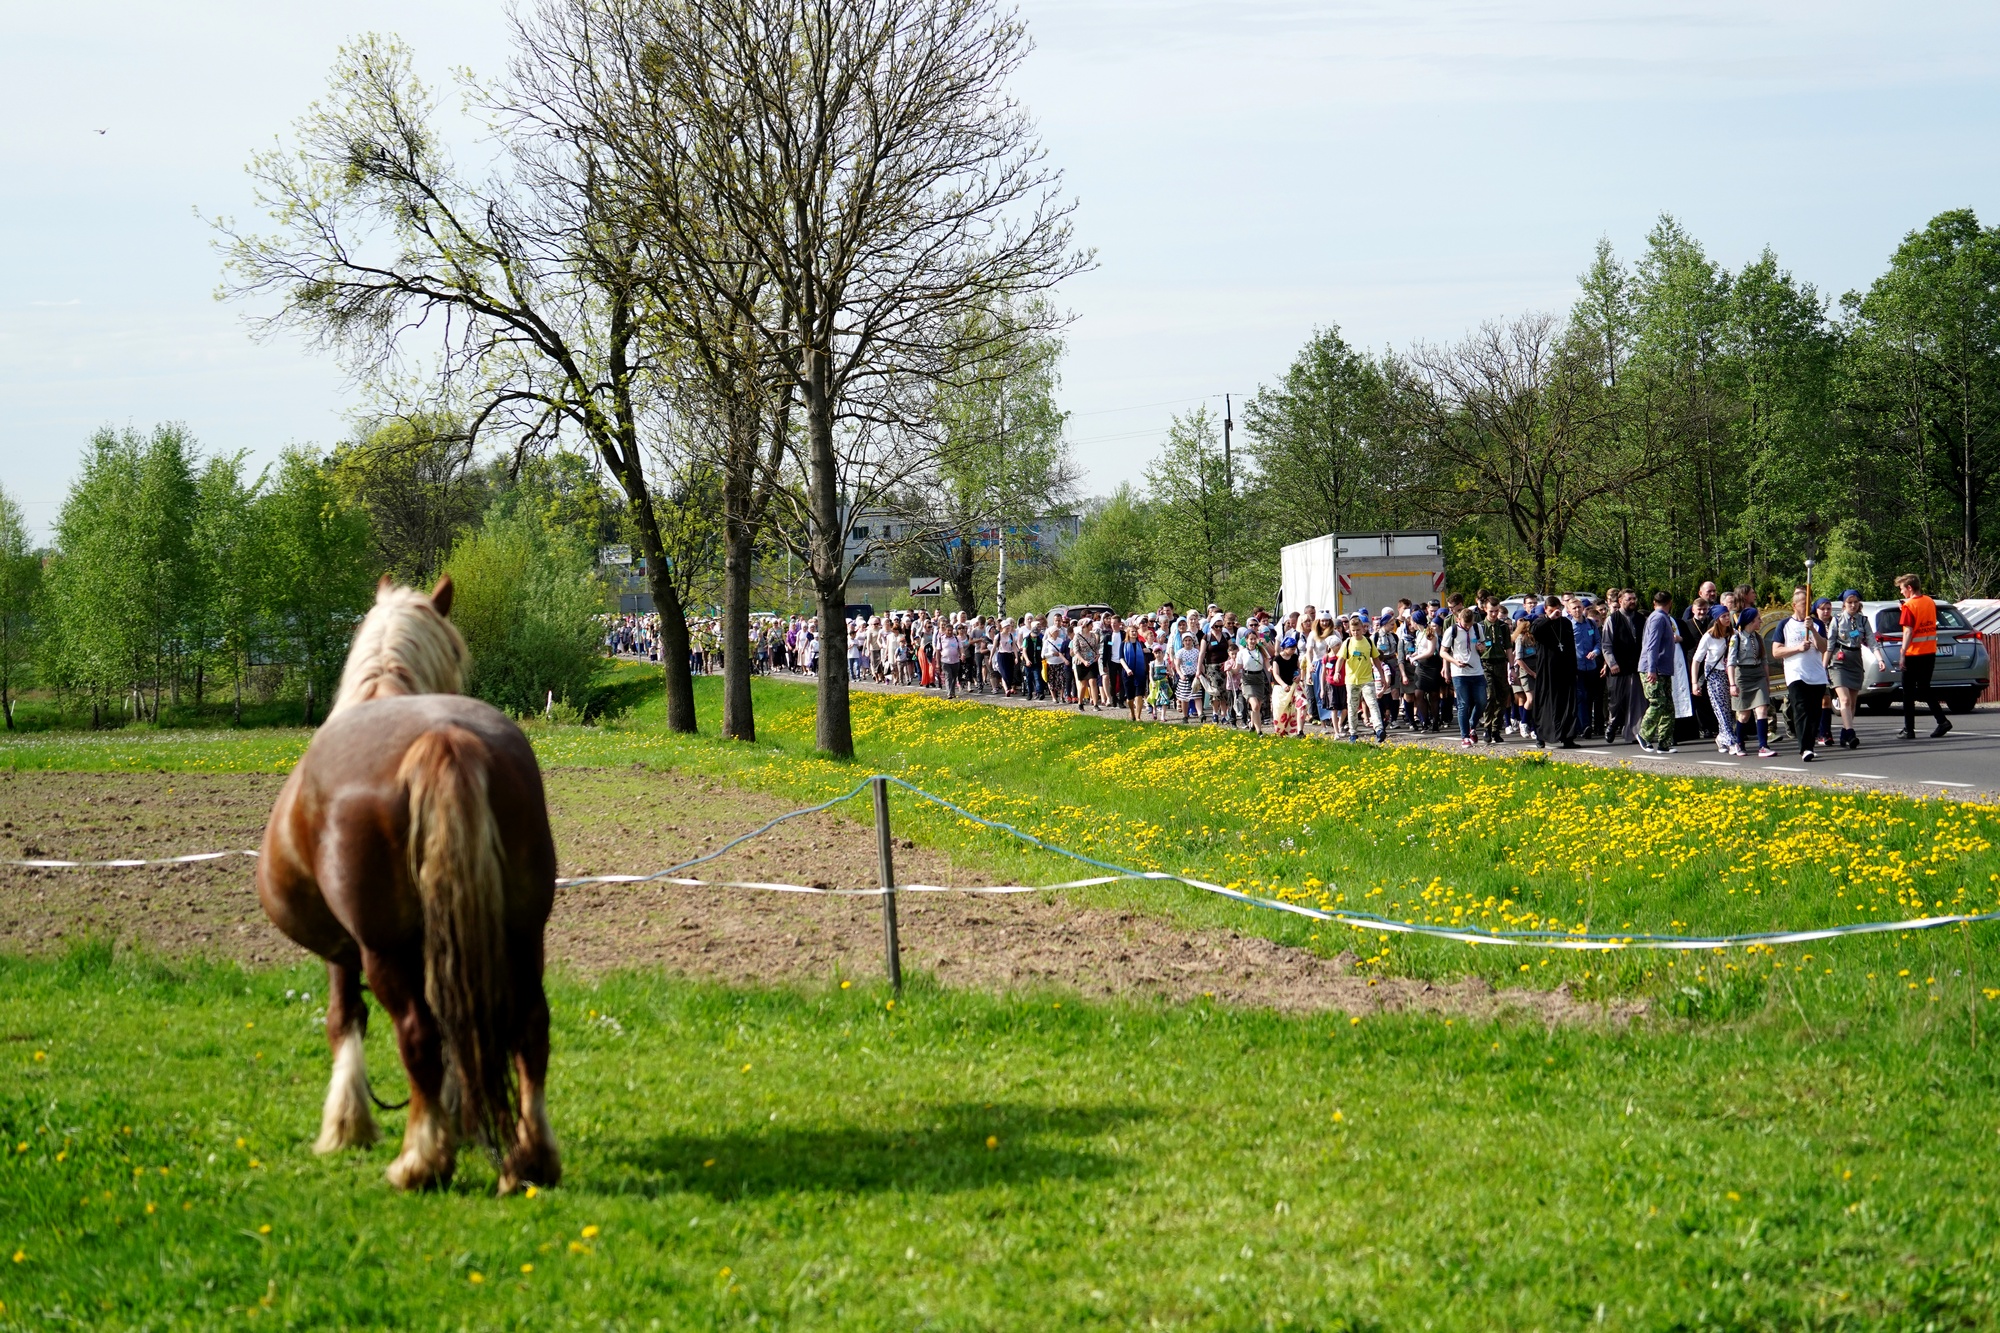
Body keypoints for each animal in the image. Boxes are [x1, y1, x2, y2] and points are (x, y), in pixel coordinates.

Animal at [256, 576, 564, 1184]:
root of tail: (443, 738)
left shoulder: (344, 949)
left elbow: (344, 1020)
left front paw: (347, 1126)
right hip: (522, 932)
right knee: (529, 1025)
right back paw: (531, 1155)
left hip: (384, 949)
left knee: (417, 1033)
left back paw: (420, 1160)